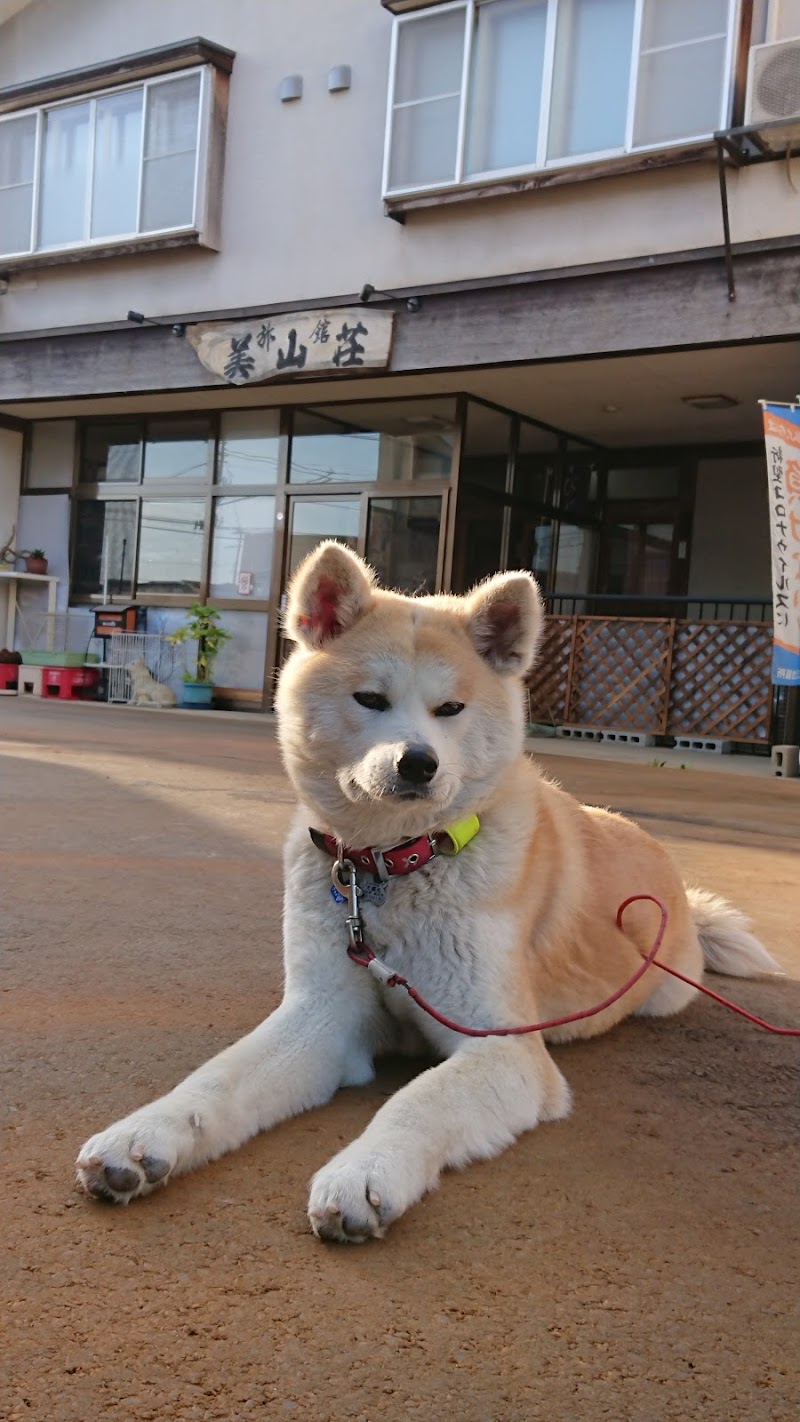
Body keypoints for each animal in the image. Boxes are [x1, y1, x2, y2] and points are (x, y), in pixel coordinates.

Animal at [76, 543, 784, 1245]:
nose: (417, 762)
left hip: (664, 986)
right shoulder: (322, 1015)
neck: (391, 868)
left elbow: (417, 1101)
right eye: (370, 698)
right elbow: (215, 1080)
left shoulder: (502, 1046)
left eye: (451, 710)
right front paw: (144, 1135)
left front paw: (366, 1172)